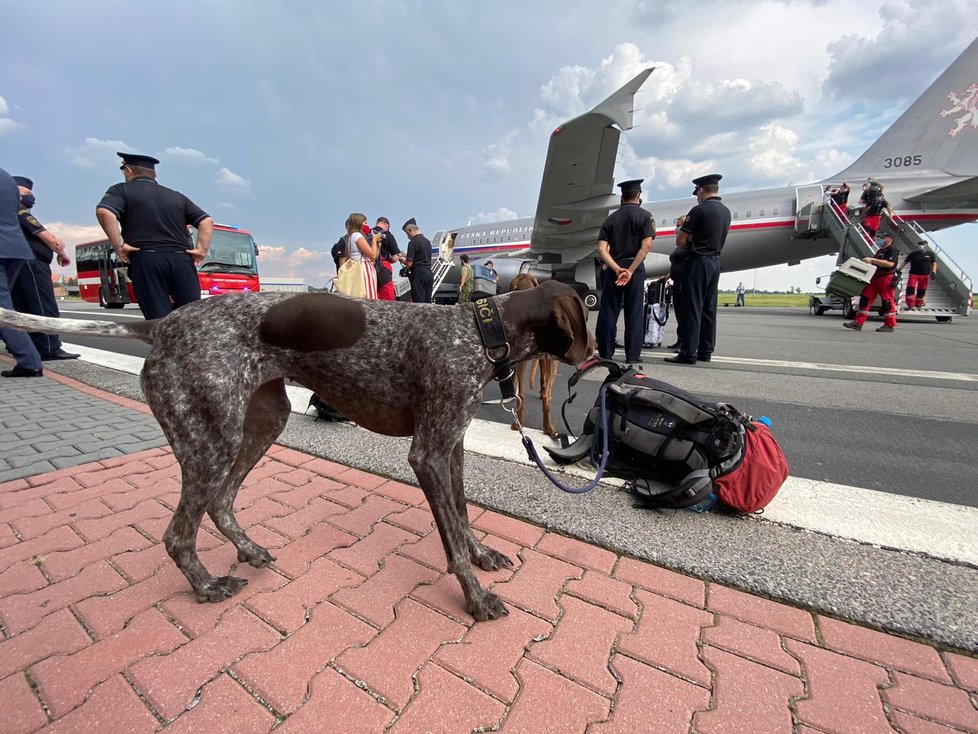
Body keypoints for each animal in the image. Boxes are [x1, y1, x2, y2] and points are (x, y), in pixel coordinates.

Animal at [0, 280, 596, 620]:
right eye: (588, 311)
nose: (598, 358)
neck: (479, 332)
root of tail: (162, 323)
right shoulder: (428, 454)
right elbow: (449, 537)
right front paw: (475, 597)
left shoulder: (451, 448)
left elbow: (464, 517)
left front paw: (482, 556)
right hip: (212, 440)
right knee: (178, 533)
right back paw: (207, 586)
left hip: (262, 423)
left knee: (221, 503)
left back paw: (248, 550)